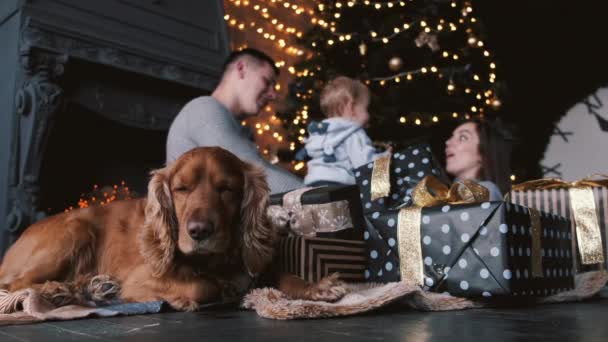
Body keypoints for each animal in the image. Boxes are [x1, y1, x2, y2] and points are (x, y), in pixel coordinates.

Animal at [0, 146, 346, 310]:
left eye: (227, 189)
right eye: (181, 189)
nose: (199, 231)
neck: (214, 261)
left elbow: (283, 276)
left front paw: (316, 287)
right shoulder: (141, 278)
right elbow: (202, 286)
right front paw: (205, 294)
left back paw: (91, 287)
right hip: (76, 230)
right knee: (18, 284)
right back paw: (59, 291)